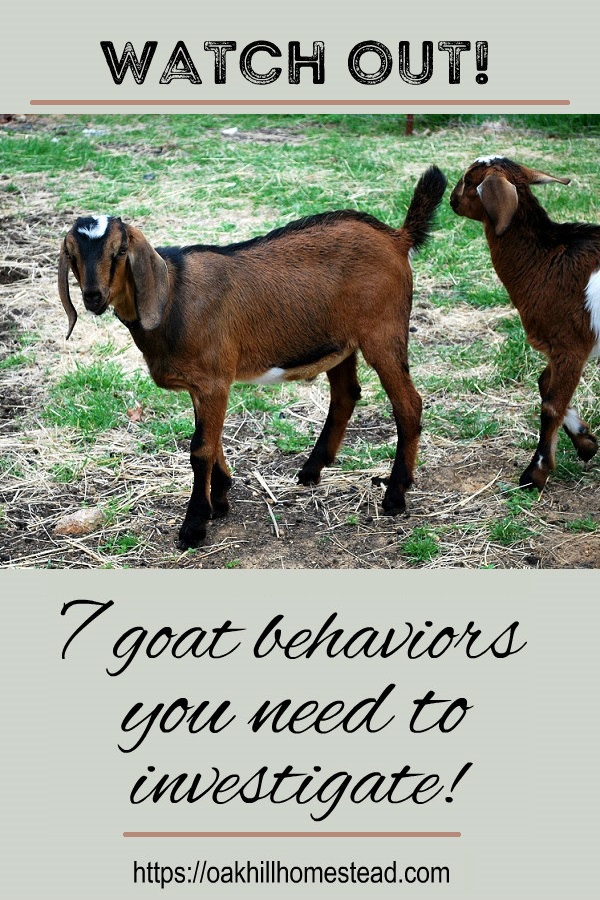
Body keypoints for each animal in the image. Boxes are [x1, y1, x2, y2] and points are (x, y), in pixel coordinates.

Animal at [58, 166, 447, 548]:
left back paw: (395, 495)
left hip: (382, 332)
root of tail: (397, 238)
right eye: (72, 255)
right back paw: (311, 470)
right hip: (339, 344)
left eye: (120, 250)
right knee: (346, 394)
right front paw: (220, 499)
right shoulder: (203, 386)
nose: (93, 297)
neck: (172, 299)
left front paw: (194, 525)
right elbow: (212, 441)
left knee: (408, 404)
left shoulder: (214, 380)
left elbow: (201, 448)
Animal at [450, 155, 600, 491]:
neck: (546, 261)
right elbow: (546, 386)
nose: (451, 200)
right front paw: (586, 442)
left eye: (470, 180)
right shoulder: (557, 348)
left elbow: (552, 404)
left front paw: (535, 474)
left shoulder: (571, 346)